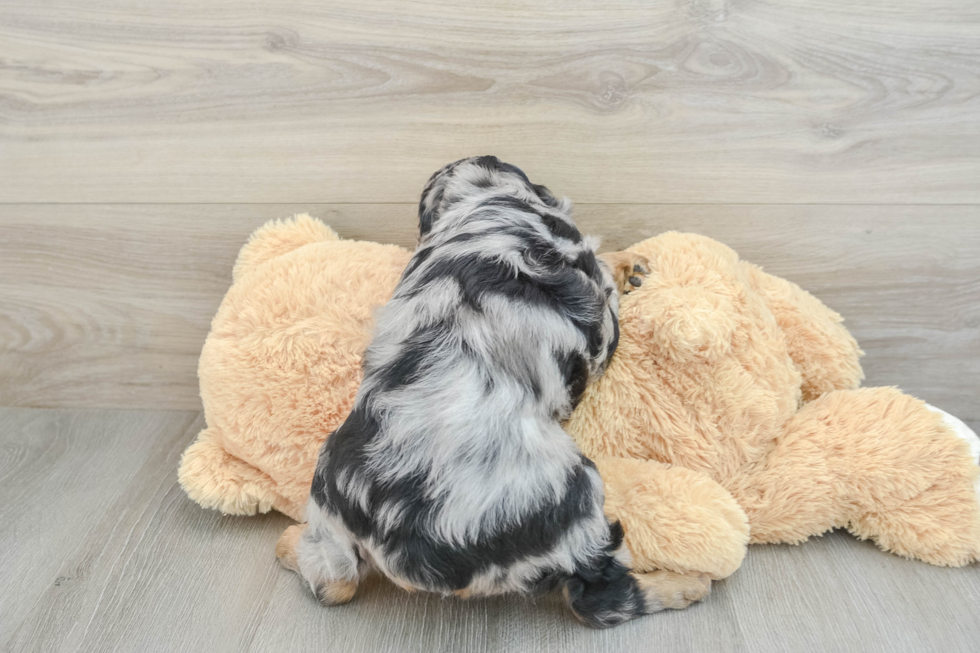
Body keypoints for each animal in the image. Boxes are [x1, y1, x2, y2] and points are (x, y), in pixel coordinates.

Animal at [276, 157, 712, 628]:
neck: (484, 198)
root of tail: (403, 543)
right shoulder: (601, 321)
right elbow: (605, 276)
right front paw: (626, 264)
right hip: (577, 504)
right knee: (602, 600)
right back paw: (687, 583)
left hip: (327, 511)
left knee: (332, 581)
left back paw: (287, 543)